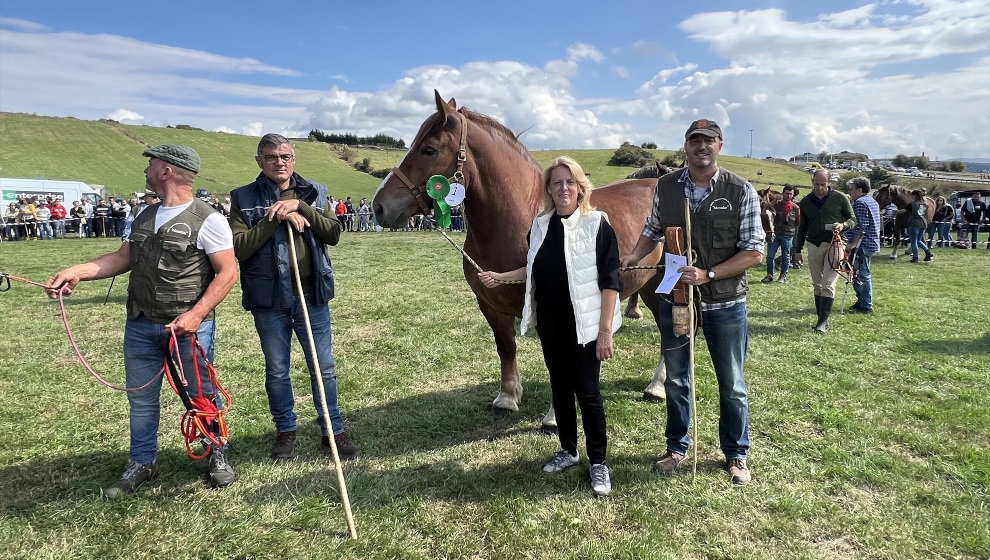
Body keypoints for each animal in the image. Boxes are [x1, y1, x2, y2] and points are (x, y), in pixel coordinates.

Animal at [372, 91, 668, 428]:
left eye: (428, 149)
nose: (379, 207)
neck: (519, 218)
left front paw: (554, 416)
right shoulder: (490, 304)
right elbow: (506, 347)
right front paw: (507, 397)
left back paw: (657, 386)